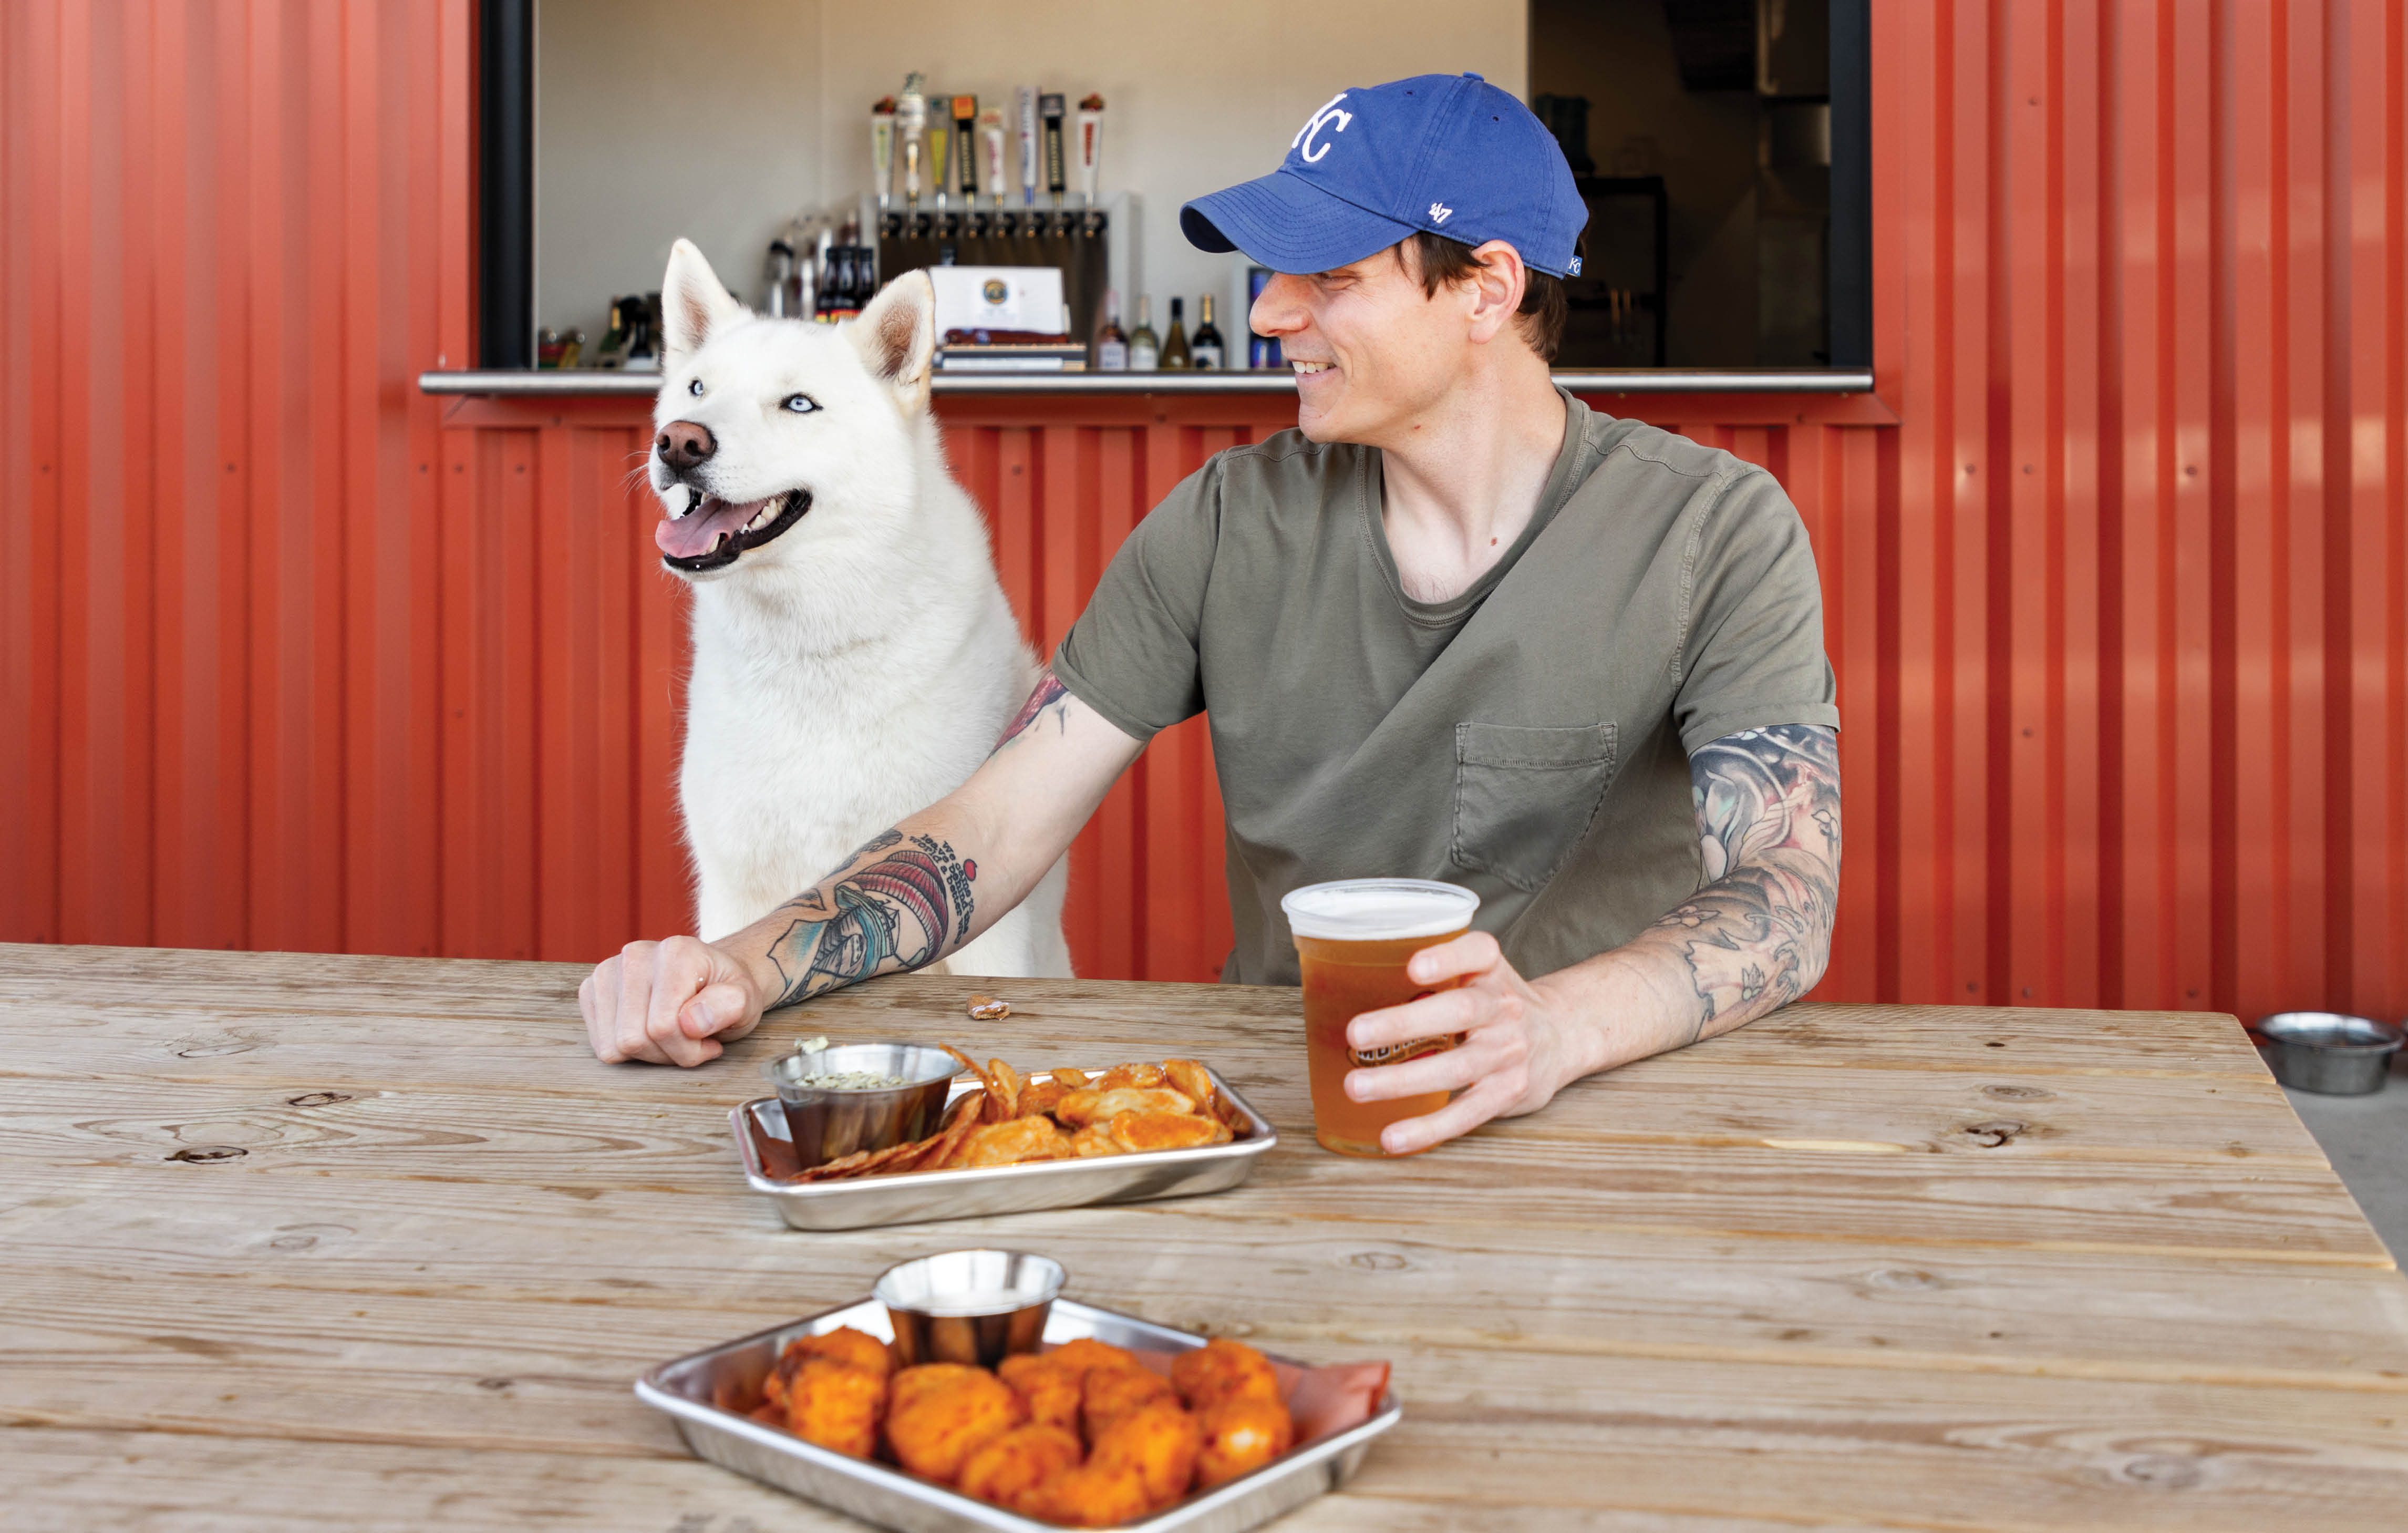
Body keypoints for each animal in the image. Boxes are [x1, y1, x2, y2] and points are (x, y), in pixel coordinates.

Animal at [655, 241, 1079, 983]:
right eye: (698, 390)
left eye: (799, 404)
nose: (680, 441)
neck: (813, 651)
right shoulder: (733, 890)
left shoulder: (984, 919)